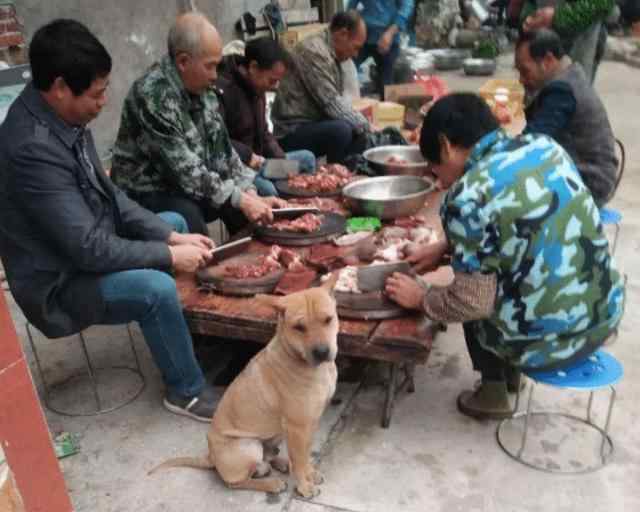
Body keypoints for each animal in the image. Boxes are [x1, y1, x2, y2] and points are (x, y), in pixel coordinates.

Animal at [149, 274, 340, 498]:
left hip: (274, 438)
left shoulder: (310, 423)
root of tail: (211, 456)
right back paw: (272, 483)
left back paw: (280, 464)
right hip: (248, 445)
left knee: (268, 458)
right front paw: (304, 485)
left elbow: (305, 455)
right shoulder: (298, 427)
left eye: (328, 319)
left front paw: (310, 473)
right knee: (236, 482)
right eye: (299, 327)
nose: (322, 352)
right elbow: (300, 460)